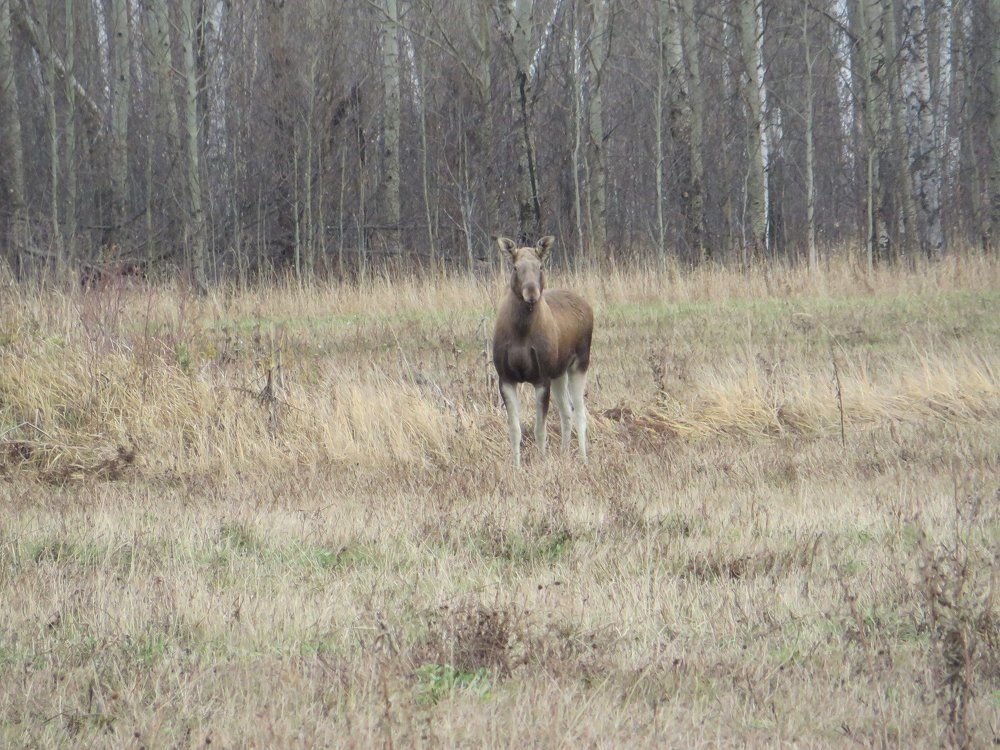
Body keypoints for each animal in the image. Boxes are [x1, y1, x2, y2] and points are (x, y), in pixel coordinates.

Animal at [492, 235, 594, 468]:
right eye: (515, 267)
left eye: (540, 266)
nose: (531, 294)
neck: (521, 331)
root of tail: (587, 305)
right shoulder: (505, 378)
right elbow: (515, 430)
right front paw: (517, 467)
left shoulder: (541, 378)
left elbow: (540, 429)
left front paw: (542, 462)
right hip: (559, 373)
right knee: (566, 411)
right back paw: (565, 454)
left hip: (580, 364)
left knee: (580, 412)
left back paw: (583, 459)